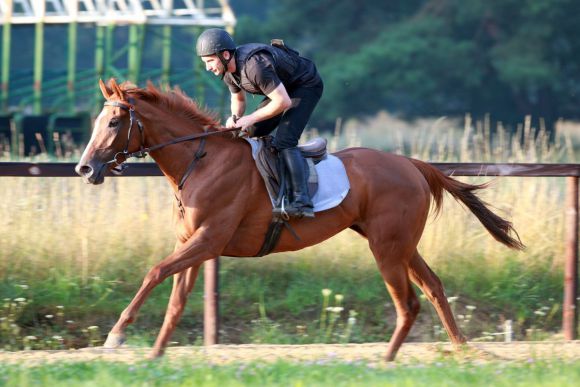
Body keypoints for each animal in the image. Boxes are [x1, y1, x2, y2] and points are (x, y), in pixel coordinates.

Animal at [75, 79, 524, 360]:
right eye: (97, 121)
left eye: (113, 121)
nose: (84, 168)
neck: (200, 161)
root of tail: (413, 164)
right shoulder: (191, 244)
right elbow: (175, 301)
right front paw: (155, 353)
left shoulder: (208, 240)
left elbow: (154, 271)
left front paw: (116, 335)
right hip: (401, 245)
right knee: (432, 288)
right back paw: (461, 349)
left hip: (387, 247)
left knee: (409, 302)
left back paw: (386, 360)